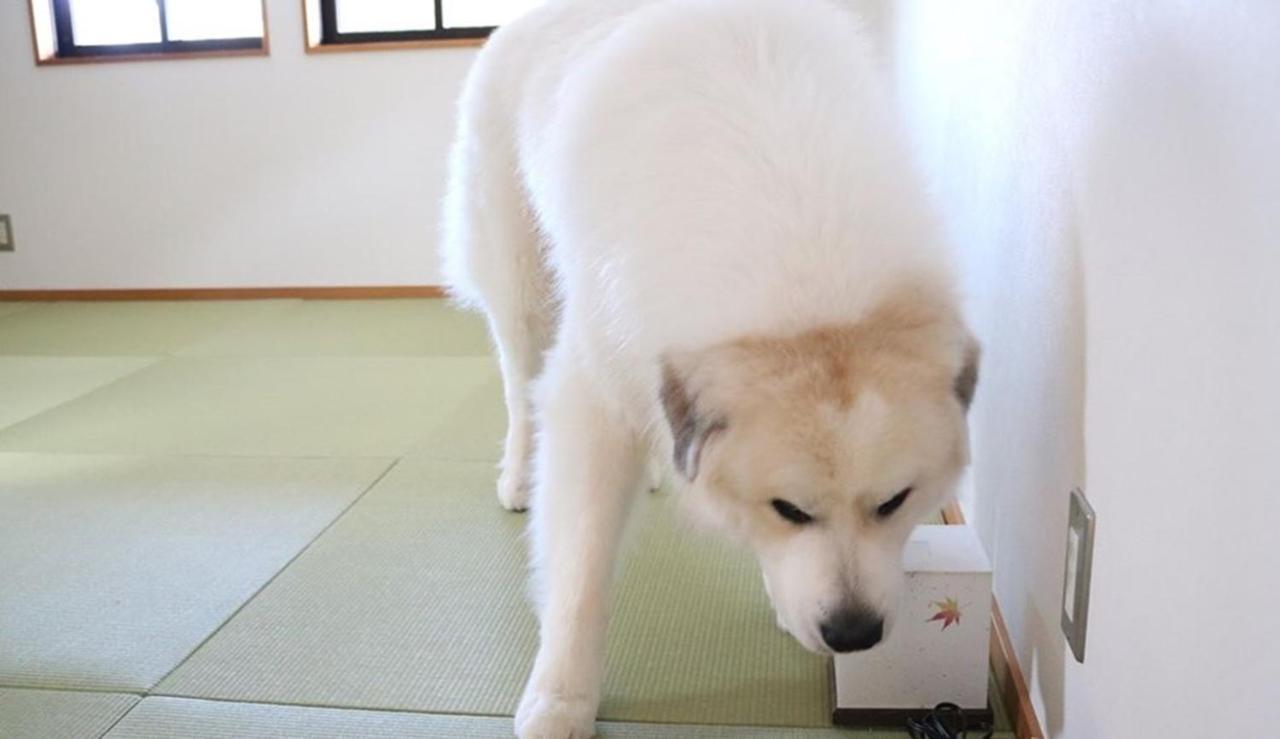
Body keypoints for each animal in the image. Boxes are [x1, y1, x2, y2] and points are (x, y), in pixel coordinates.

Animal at [442, 2, 977, 732]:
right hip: (522, 290)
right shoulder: (593, 391)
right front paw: (560, 697)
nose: (853, 634)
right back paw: (519, 475)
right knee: (519, 387)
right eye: (790, 509)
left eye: (895, 503)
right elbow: (580, 568)